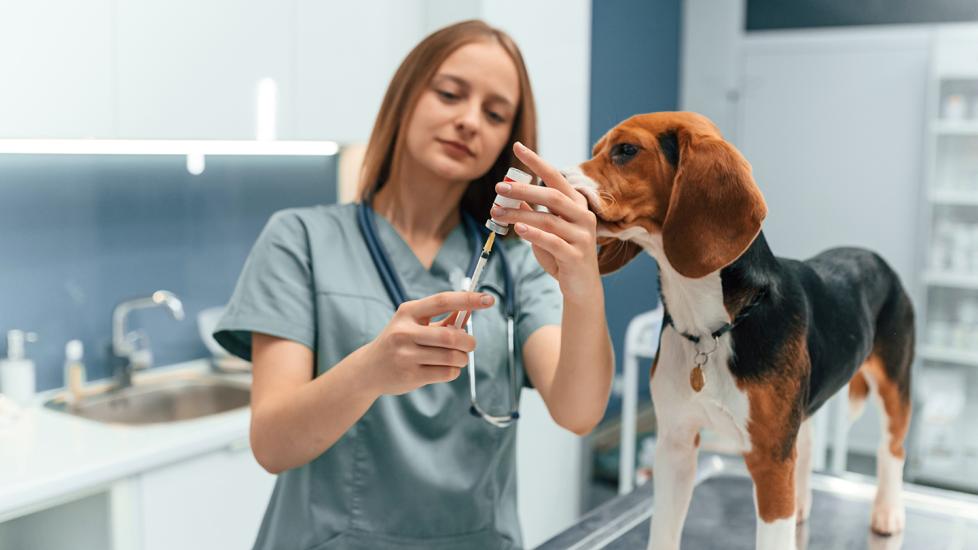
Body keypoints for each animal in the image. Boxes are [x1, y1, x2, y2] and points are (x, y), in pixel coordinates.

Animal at [564, 112, 916, 550]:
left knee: (892, 448)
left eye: (626, 150)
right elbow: (663, 530)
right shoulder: (676, 443)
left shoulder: (769, 458)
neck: (708, 327)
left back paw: (887, 511)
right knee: (809, 443)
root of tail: (873, 256)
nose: (551, 179)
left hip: (894, 385)